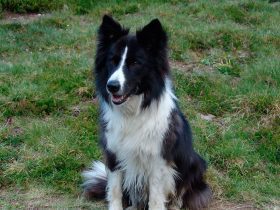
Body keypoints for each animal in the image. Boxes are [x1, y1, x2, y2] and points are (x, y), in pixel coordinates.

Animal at [82, 15, 211, 209]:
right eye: (113, 61)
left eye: (135, 63)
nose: (112, 86)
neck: (132, 112)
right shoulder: (113, 154)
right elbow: (115, 190)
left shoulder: (158, 160)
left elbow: (156, 198)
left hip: (193, 162)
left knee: (180, 194)